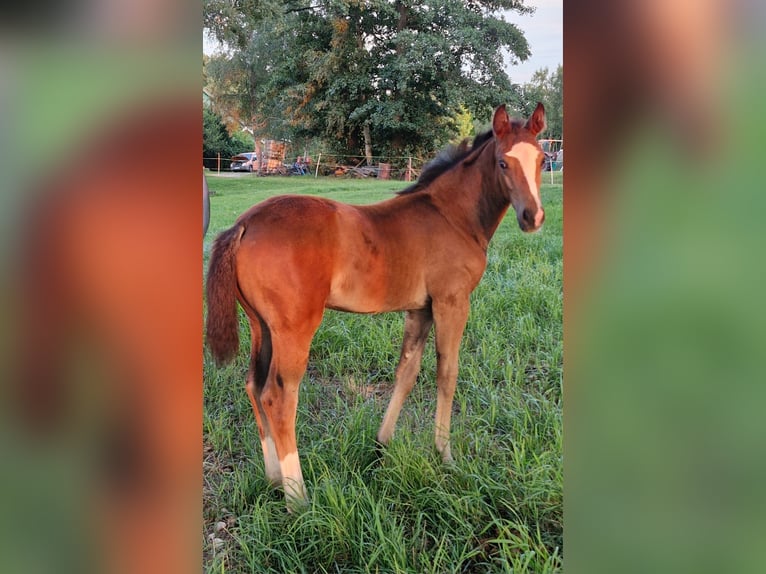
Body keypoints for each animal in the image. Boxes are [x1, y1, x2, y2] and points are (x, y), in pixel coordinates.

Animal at [205, 102, 547, 508]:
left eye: (542, 160)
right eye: (502, 162)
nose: (532, 217)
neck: (452, 215)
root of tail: (243, 225)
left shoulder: (420, 308)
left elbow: (406, 372)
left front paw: (382, 445)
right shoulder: (452, 301)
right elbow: (446, 374)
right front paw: (445, 456)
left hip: (262, 326)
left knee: (254, 386)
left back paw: (275, 480)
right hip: (295, 328)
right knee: (278, 396)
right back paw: (298, 497)